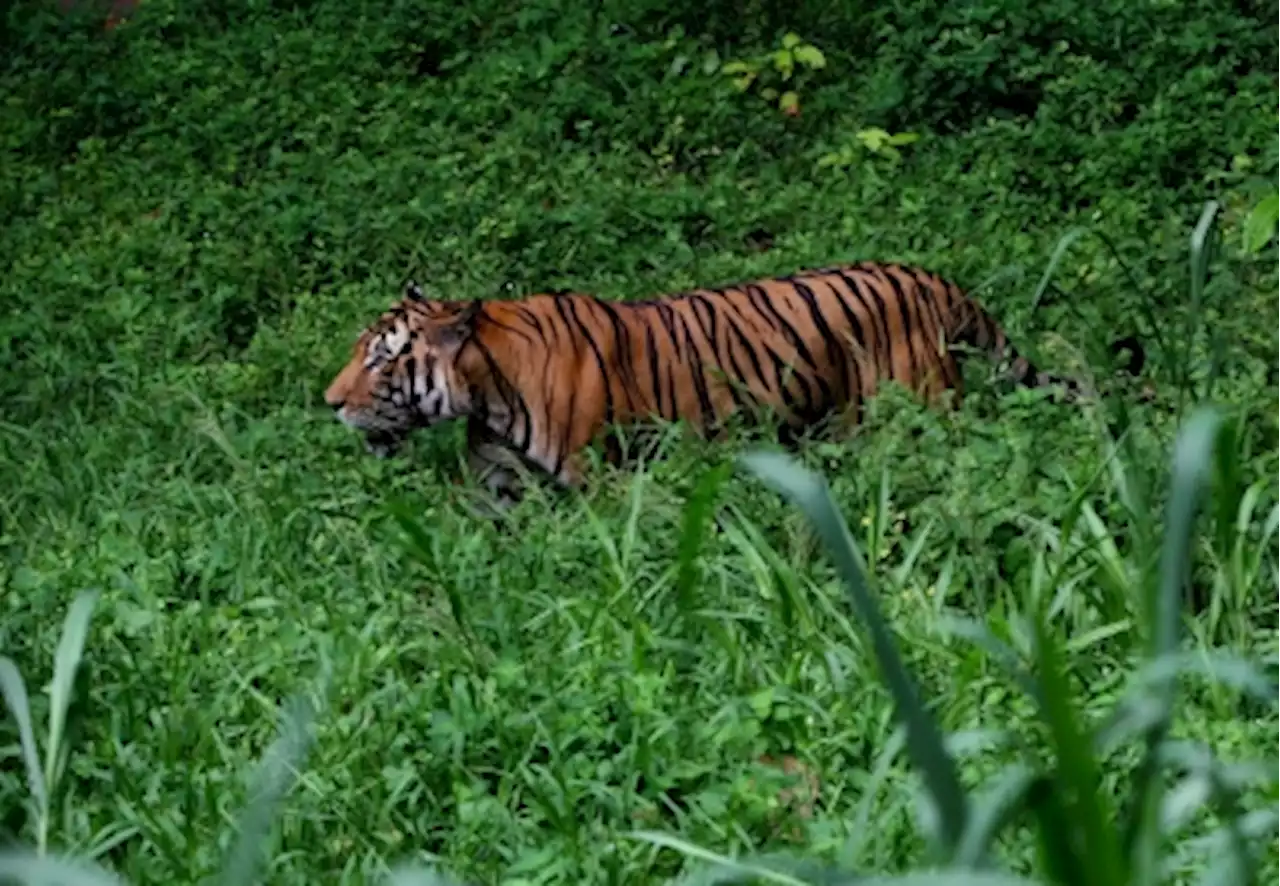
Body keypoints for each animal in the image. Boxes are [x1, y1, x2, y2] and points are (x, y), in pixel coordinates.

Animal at [322, 259, 1141, 504]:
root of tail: (935, 279)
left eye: (381, 358)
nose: (329, 403)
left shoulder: (601, 482)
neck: (485, 394)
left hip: (921, 413)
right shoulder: (495, 491)